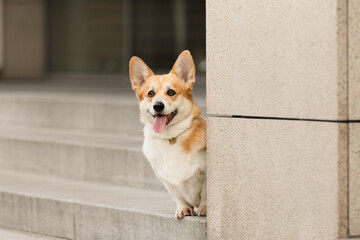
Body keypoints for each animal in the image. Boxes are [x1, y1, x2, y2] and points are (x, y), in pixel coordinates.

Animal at [129, 50, 208, 219]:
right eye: (150, 93)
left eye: (171, 92)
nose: (158, 106)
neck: (170, 137)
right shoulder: (166, 180)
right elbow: (178, 196)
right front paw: (184, 208)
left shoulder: (205, 174)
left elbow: (205, 194)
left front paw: (204, 208)